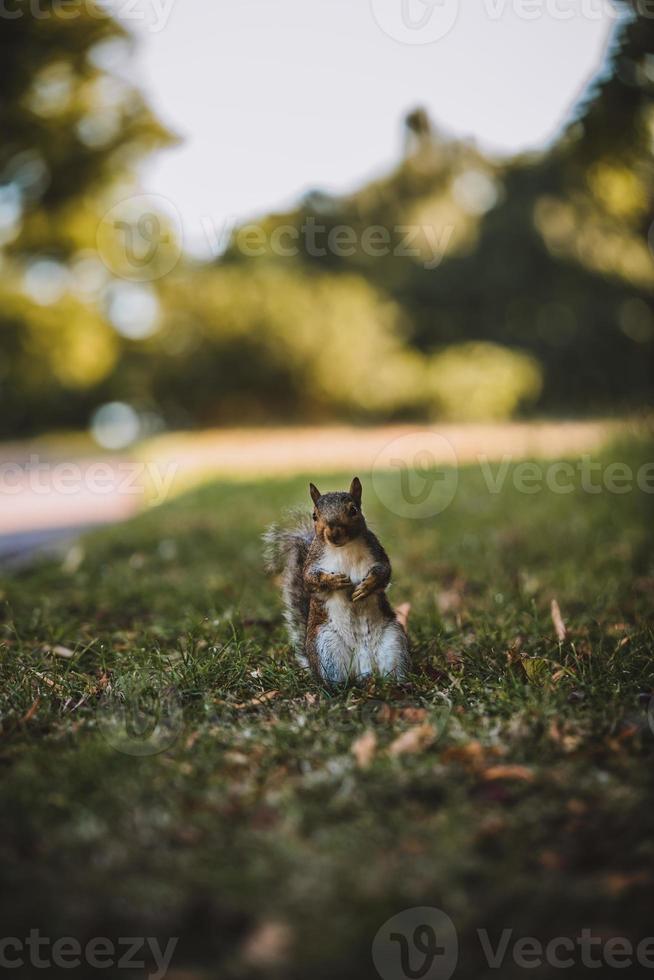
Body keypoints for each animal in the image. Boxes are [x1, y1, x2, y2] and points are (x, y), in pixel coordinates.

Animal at [266, 474, 410, 680]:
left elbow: (384, 572)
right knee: (335, 679)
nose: (333, 532)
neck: (344, 548)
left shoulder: (376, 551)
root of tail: (364, 666)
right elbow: (309, 579)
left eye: (353, 510)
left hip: (393, 640)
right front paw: (333, 580)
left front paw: (366, 586)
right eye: (314, 515)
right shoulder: (313, 561)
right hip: (326, 646)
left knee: (393, 670)